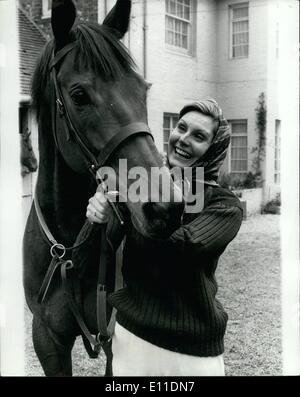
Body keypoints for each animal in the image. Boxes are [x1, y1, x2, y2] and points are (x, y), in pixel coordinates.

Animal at [23, 0, 184, 376]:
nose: (165, 208)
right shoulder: (46, 339)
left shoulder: (117, 343)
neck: (68, 247)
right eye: (79, 95)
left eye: (142, 89)